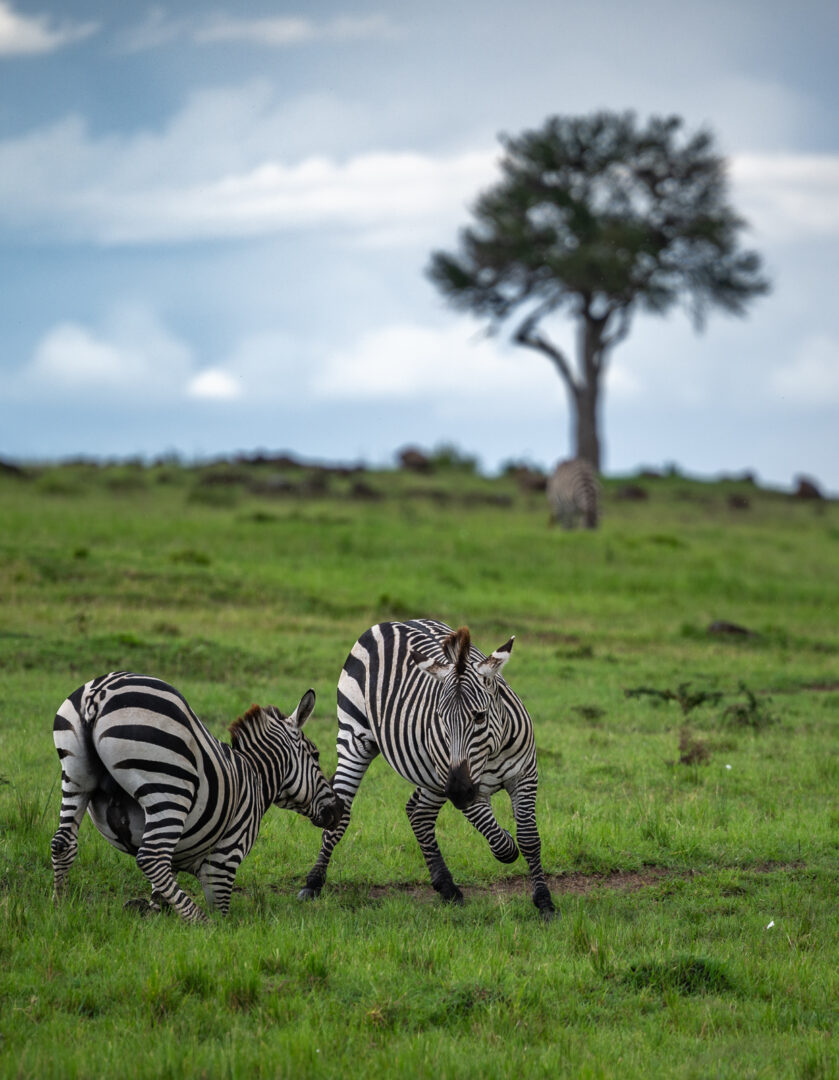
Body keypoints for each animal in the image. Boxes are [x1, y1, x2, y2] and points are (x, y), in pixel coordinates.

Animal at [51, 672, 342, 923]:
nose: (338, 810)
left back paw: (62, 908)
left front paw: (152, 910)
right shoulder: (223, 861)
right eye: (316, 755)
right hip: (169, 787)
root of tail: (99, 692)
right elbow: (220, 911)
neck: (256, 777)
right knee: (152, 857)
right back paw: (200, 921)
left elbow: (161, 889)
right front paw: (213, 926)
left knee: (63, 842)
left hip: (76, 777)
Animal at [298, 619, 556, 918]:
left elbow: (528, 839)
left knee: (419, 814)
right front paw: (506, 840)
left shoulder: (525, 776)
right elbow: (502, 844)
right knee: (341, 814)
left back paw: (447, 886)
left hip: (432, 773)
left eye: (480, 716)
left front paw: (544, 901)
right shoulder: (467, 788)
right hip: (357, 739)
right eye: (441, 717)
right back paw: (313, 883)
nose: (458, 791)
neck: (492, 752)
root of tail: (390, 622)